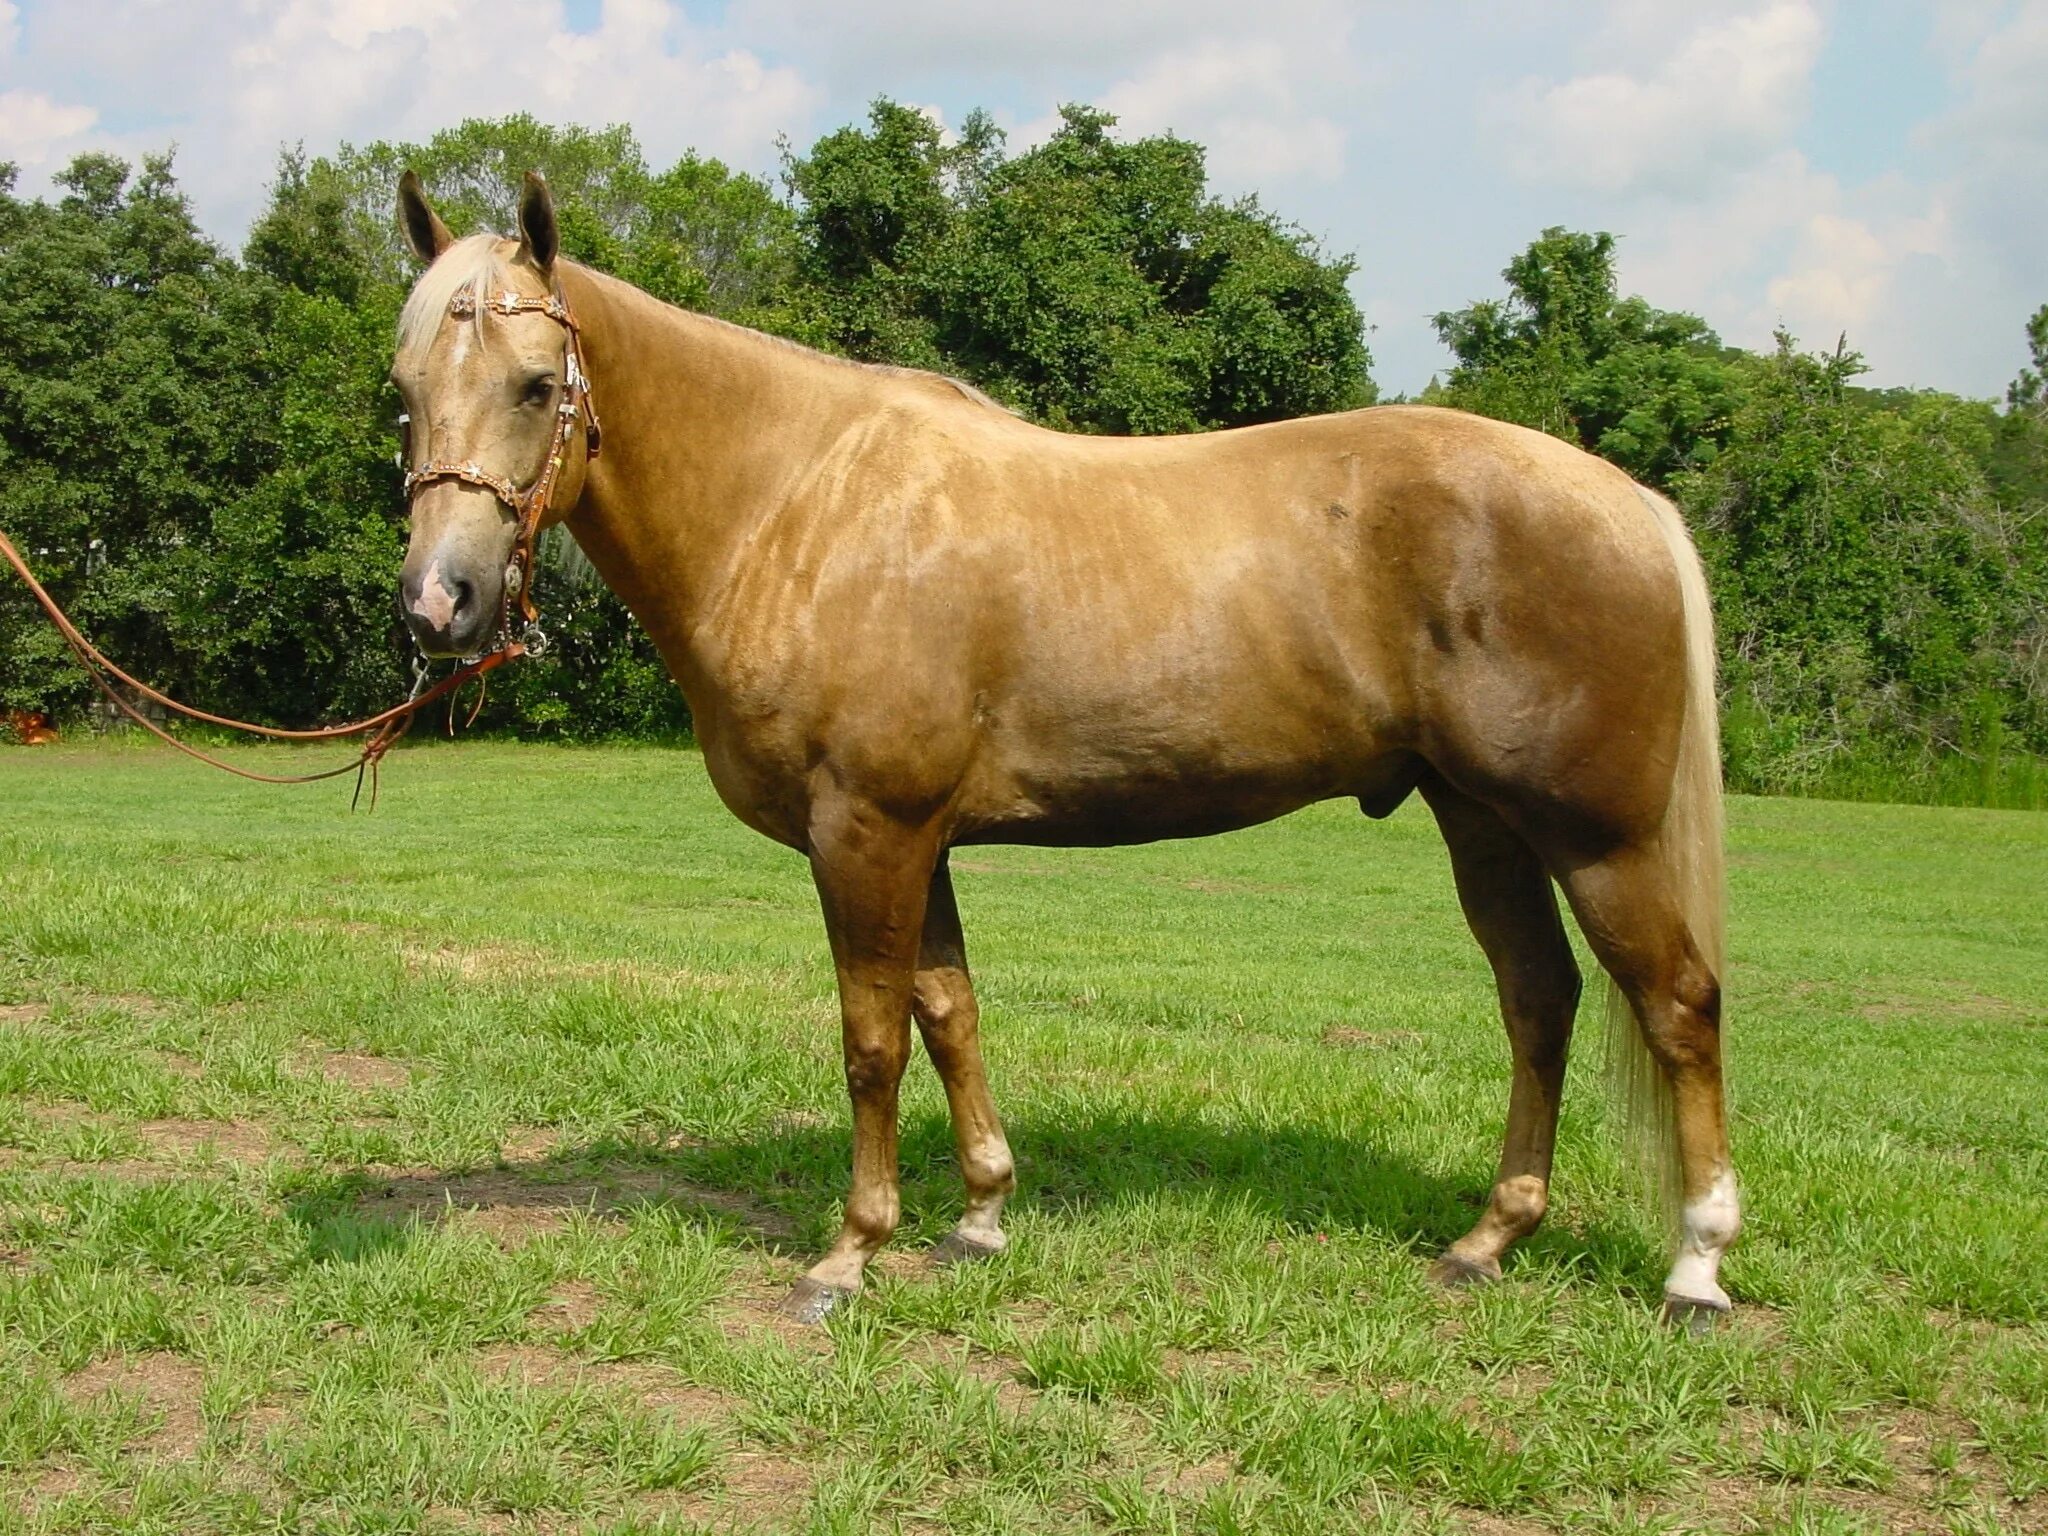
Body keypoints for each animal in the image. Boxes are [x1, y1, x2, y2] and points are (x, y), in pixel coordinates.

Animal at [391, 177, 1736, 1335]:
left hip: (1595, 838)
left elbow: (872, 1042)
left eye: (533, 384)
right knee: (1538, 999)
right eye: (403, 388)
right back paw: (1486, 1240)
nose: (437, 604)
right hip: (1479, 818)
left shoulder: (864, 832)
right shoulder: (918, 839)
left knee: (1676, 1006)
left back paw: (1695, 1267)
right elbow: (949, 1013)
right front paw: (979, 1217)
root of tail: (1626, 500)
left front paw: (847, 1255)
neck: (802, 504)